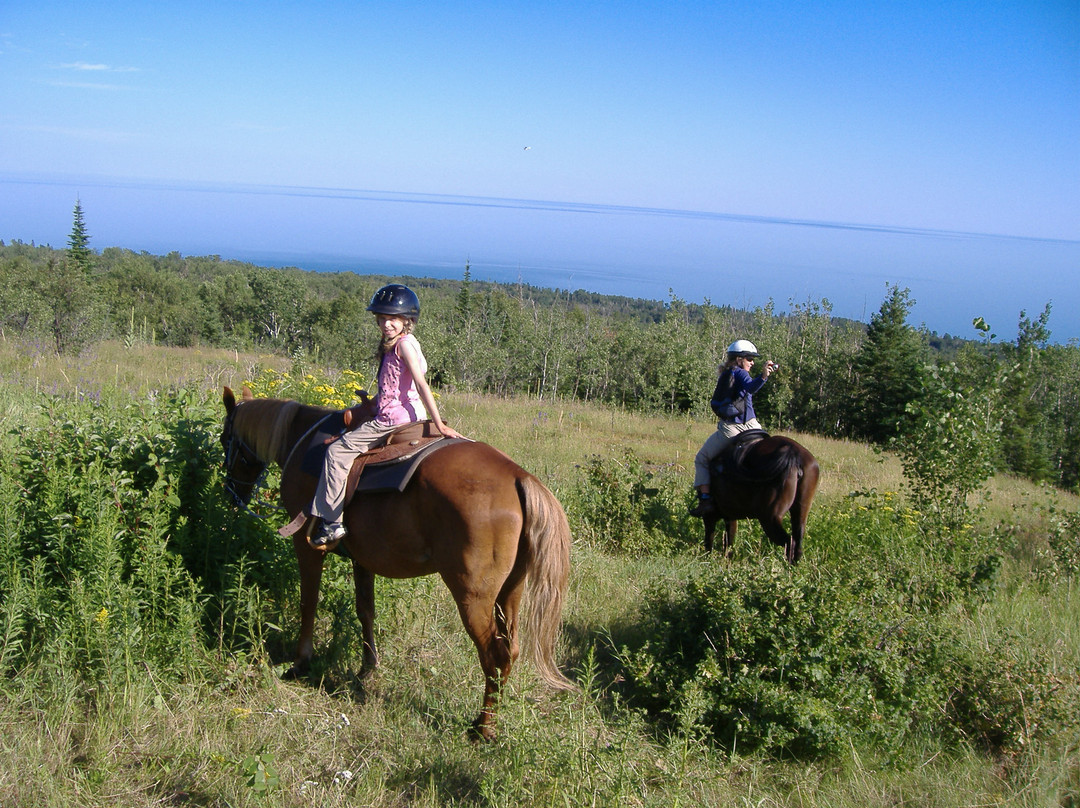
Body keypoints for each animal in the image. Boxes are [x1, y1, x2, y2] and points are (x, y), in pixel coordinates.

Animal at [214, 388, 578, 743]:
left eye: (223, 439)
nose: (231, 494)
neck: (299, 439)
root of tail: (519, 476)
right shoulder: (362, 557)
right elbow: (365, 610)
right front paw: (367, 668)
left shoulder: (306, 547)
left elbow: (309, 602)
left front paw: (301, 661)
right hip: (510, 592)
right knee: (511, 650)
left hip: (472, 596)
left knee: (494, 654)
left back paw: (483, 728)